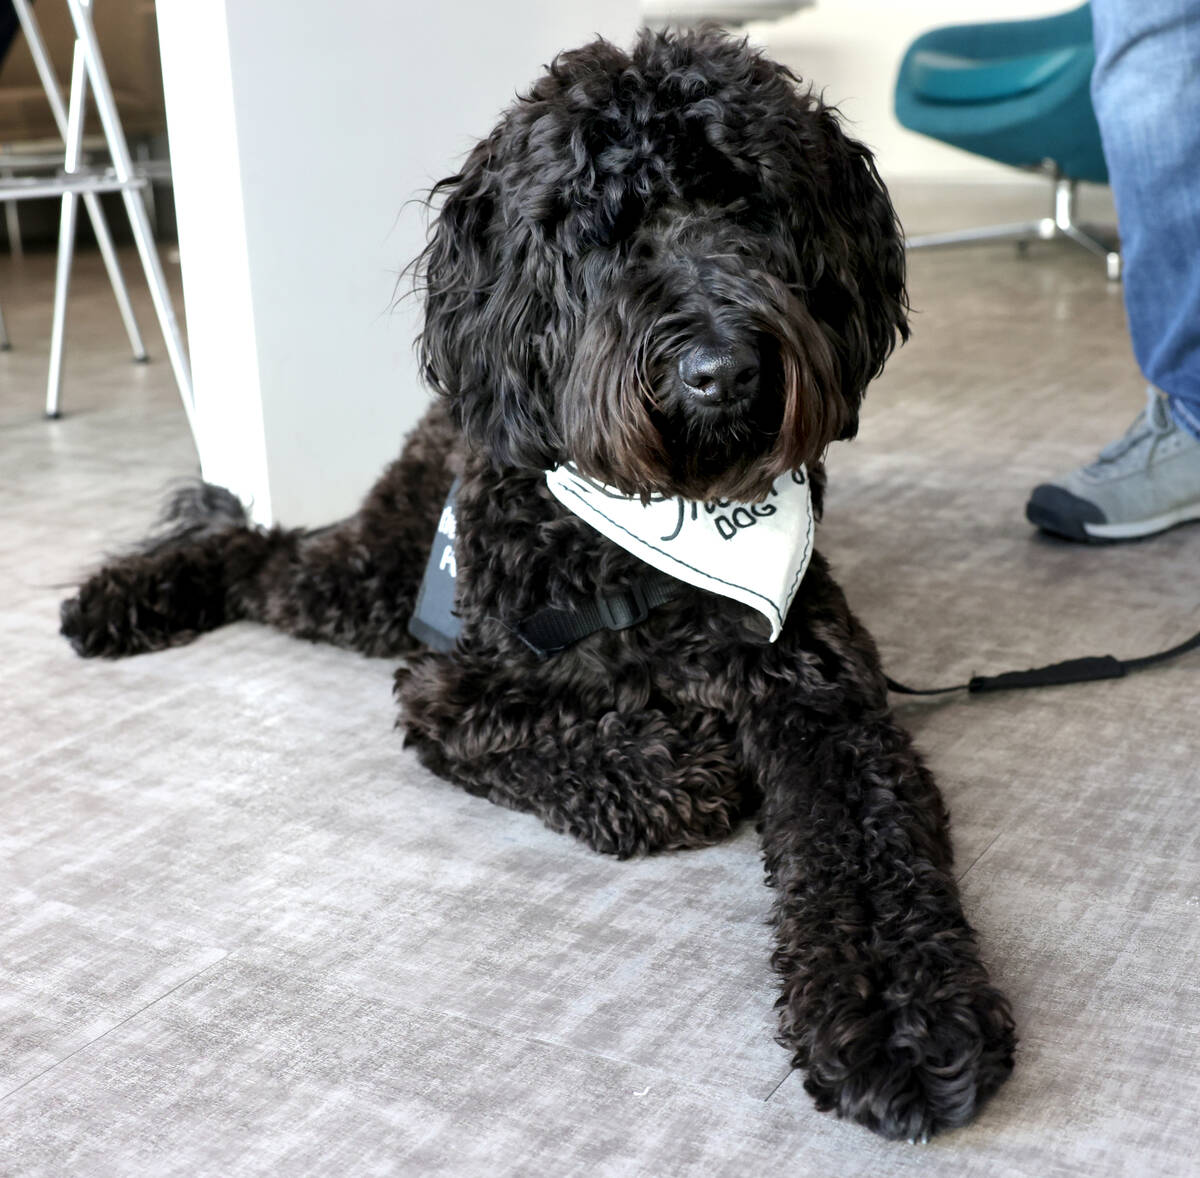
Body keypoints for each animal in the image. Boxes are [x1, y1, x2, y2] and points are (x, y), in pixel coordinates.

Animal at [63, 29, 1012, 1142]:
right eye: (600, 228)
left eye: (752, 208)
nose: (721, 370)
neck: (652, 530)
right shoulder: (453, 688)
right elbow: (566, 741)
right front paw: (672, 768)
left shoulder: (825, 698)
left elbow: (874, 852)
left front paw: (906, 1022)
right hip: (384, 583)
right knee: (259, 551)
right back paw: (120, 602)